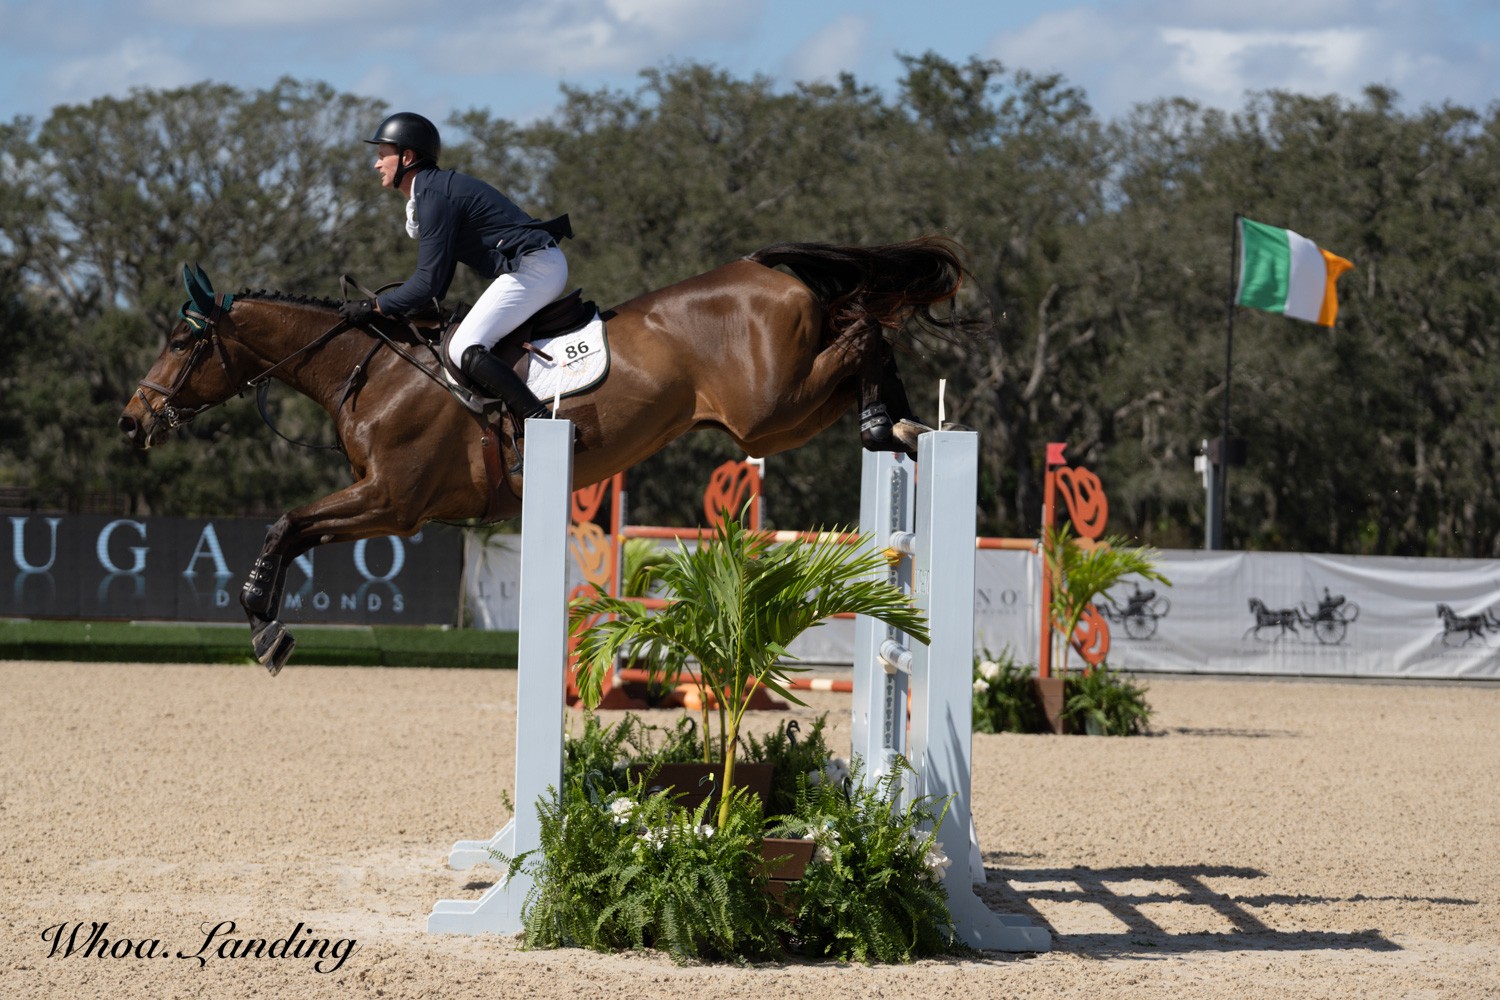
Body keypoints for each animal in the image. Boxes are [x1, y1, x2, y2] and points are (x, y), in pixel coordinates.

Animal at [118, 237, 975, 673]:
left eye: (179, 344)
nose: (132, 423)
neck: (373, 370)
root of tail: (767, 268)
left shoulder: (394, 503)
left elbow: (287, 524)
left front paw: (263, 627)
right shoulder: (384, 504)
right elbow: (294, 531)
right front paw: (266, 623)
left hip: (767, 413)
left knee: (864, 331)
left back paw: (890, 424)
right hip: (777, 413)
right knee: (862, 332)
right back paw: (897, 422)